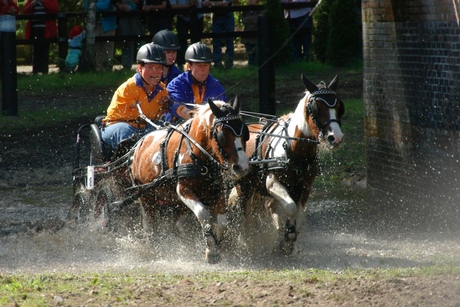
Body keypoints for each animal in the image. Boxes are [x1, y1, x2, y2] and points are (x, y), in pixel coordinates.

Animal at [131, 97, 250, 264]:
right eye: (222, 136)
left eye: (245, 134)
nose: (242, 167)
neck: (197, 152)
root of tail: (140, 144)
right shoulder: (183, 189)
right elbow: (203, 214)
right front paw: (211, 250)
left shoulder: (216, 190)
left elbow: (222, 222)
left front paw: (217, 242)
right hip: (146, 196)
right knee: (150, 225)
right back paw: (153, 249)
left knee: (177, 223)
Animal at [228, 74, 344, 255]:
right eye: (316, 108)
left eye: (339, 107)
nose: (336, 138)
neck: (294, 149)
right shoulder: (272, 183)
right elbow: (291, 207)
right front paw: (287, 237)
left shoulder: (305, 186)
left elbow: (300, 215)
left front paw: (287, 237)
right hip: (243, 186)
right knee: (244, 213)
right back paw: (246, 240)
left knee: (268, 206)